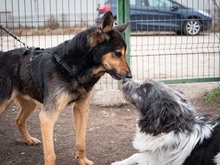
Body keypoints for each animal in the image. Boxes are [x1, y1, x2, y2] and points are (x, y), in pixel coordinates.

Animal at [0, 10, 131, 164]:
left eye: (124, 54)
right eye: (117, 53)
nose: (130, 76)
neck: (71, 68)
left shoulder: (81, 110)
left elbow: (81, 142)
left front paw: (82, 160)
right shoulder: (47, 117)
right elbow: (51, 154)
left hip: (29, 103)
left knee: (19, 120)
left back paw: (29, 139)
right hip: (3, 104)